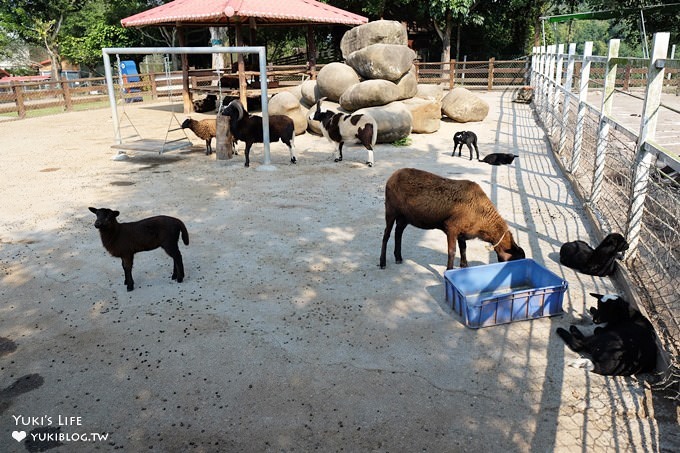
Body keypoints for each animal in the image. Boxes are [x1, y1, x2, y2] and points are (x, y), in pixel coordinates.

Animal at [378, 169, 524, 268]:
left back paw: (398, 257)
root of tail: (394, 175)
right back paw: (382, 262)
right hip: (390, 210)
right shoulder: (451, 227)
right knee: (386, 235)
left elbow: (463, 248)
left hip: (405, 217)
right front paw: (449, 270)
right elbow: (452, 251)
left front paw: (464, 266)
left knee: (398, 233)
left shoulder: (462, 232)